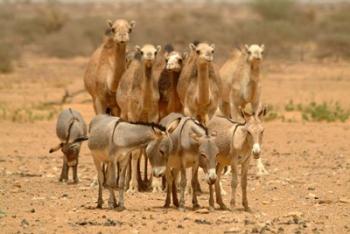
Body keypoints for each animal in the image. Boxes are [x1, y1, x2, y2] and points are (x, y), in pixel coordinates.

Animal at [116, 43, 163, 192]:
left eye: (155, 52)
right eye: (142, 52)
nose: (149, 56)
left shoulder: (153, 116)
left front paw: (156, 186)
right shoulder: (133, 115)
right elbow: (135, 152)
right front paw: (132, 186)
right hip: (124, 114)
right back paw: (126, 182)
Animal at [220, 44, 266, 176]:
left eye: (261, 51)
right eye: (249, 52)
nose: (257, 57)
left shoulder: (256, 103)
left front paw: (261, 169)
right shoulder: (233, 104)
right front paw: (230, 169)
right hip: (222, 103)